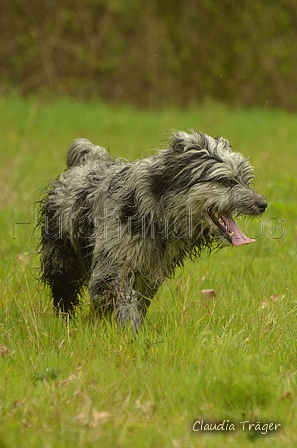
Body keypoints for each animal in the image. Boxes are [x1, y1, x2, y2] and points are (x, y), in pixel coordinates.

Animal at [38, 130, 266, 328]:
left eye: (246, 180)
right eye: (226, 181)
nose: (262, 204)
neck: (157, 212)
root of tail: (87, 162)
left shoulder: (150, 275)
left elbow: (136, 300)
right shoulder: (112, 266)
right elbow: (121, 297)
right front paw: (130, 327)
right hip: (60, 260)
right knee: (63, 295)